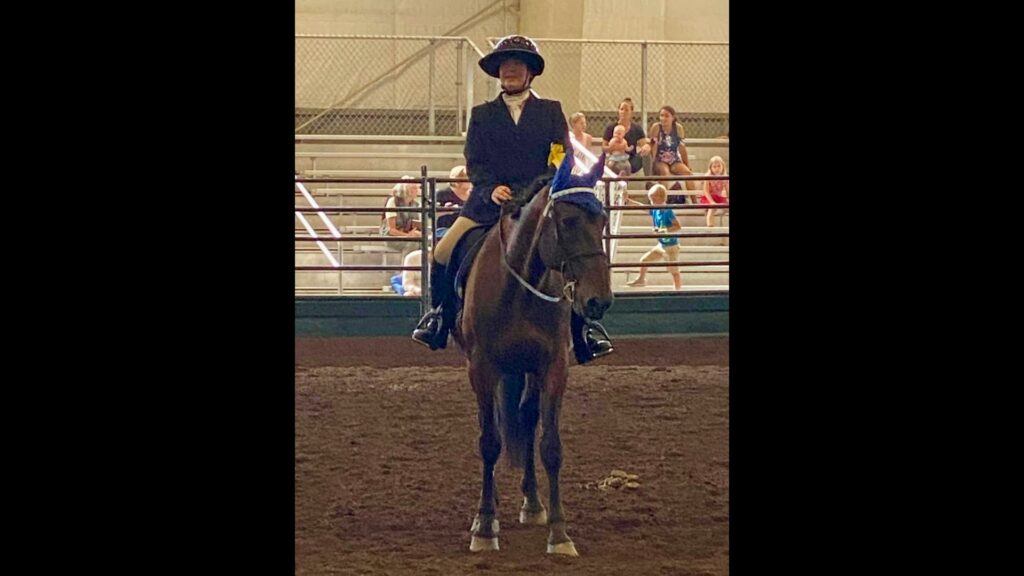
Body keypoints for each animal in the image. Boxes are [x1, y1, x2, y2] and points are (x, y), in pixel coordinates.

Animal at [452, 150, 610, 553]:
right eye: (567, 221)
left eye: (602, 219)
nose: (599, 301)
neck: (521, 286)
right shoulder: (481, 367)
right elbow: (489, 442)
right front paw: (484, 525)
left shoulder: (553, 367)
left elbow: (549, 445)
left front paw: (559, 532)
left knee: (526, 417)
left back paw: (533, 503)